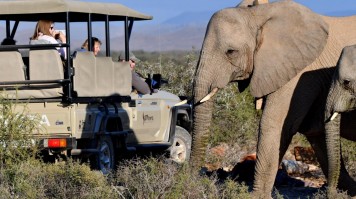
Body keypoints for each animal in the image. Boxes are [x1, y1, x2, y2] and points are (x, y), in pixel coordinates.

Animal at [193, 0, 356, 197]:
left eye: (231, 52)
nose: (191, 180)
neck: (258, 14)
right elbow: (315, 132)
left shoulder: (299, 72)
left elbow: (275, 125)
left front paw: (256, 197)